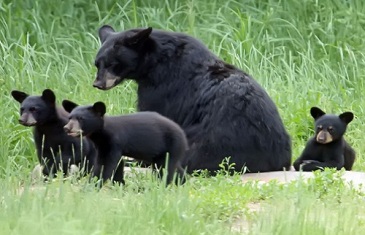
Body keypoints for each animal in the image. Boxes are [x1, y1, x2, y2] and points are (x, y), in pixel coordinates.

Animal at [92, 25, 292, 174]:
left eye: (112, 64)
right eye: (97, 64)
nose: (97, 84)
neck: (154, 61)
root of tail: (277, 159)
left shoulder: (161, 88)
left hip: (207, 141)